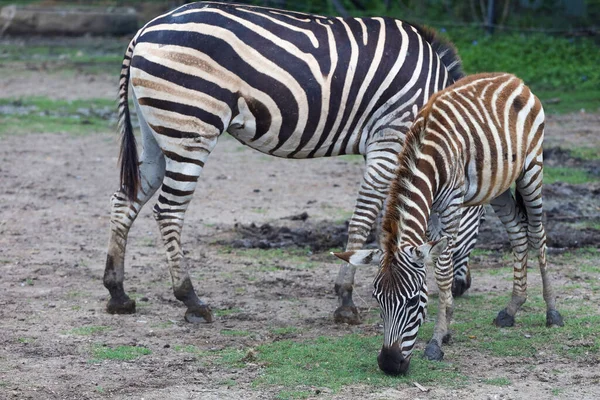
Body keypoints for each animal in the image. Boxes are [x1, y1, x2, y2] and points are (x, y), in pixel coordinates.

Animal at [104, 0, 488, 324]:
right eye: (481, 220)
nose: (463, 287)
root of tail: (147, 28)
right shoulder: (389, 139)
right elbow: (364, 220)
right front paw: (346, 301)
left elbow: (383, 220)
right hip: (191, 126)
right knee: (168, 211)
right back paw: (191, 300)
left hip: (158, 130)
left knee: (125, 200)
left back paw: (118, 293)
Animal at [332, 72, 564, 376]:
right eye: (377, 299)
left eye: (412, 301)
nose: (389, 364)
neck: (428, 156)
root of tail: (513, 78)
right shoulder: (430, 211)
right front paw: (447, 328)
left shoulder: (451, 205)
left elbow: (443, 271)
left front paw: (437, 340)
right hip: (498, 186)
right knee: (517, 232)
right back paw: (512, 308)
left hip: (532, 168)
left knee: (538, 233)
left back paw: (552, 312)